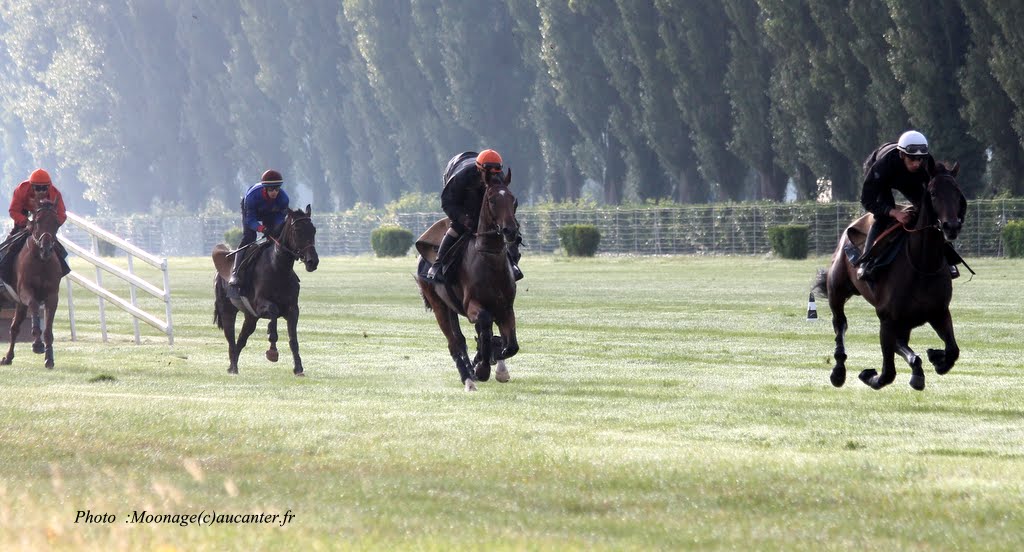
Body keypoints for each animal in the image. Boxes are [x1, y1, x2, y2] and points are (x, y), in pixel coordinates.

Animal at [0, 200, 65, 368]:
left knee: (14, 328)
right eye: (37, 221)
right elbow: (34, 304)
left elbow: (48, 330)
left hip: (19, 305)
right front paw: (37, 343)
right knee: (15, 327)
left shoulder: (52, 296)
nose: (46, 249)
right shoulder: (25, 291)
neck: (41, 262)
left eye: (56, 223)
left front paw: (49, 358)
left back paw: (8, 357)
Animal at [210, 205, 315, 376]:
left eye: (313, 230)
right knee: (231, 338)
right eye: (297, 230)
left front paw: (298, 368)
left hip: (250, 317)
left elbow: (293, 339)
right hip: (227, 310)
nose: (313, 261)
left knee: (241, 339)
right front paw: (272, 350)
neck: (278, 269)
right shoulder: (259, 305)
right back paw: (233, 367)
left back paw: (233, 364)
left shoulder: (292, 309)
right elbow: (273, 313)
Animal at [415, 171, 520, 391]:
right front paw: (481, 368)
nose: (510, 231)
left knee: (464, 338)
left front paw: (492, 363)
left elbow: (510, 345)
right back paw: (468, 379)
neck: (488, 260)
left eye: (513, 200)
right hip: (439, 306)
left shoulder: (505, 308)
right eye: (492, 200)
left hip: (451, 307)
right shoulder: (473, 307)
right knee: (454, 343)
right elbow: (485, 326)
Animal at [811, 161, 962, 391]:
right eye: (933, 193)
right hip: (837, 291)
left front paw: (936, 358)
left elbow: (952, 351)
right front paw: (868, 374)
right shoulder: (887, 318)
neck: (921, 264)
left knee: (902, 343)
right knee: (840, 324)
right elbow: (887, 373)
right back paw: (838, 371)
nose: (951, 226)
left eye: (957, 192)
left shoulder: (939, 312)